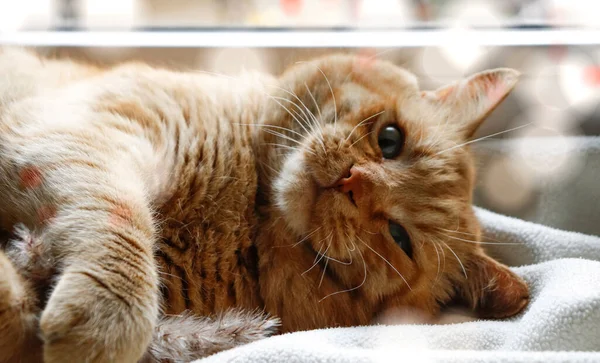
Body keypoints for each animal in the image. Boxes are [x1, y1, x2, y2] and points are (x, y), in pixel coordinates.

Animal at [0, 49, 524, 363]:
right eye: (391, 140)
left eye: (400, 238)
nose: (353, 183)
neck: (246, 210)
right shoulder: (85, 131)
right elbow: (120, 221)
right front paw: (106, 317)